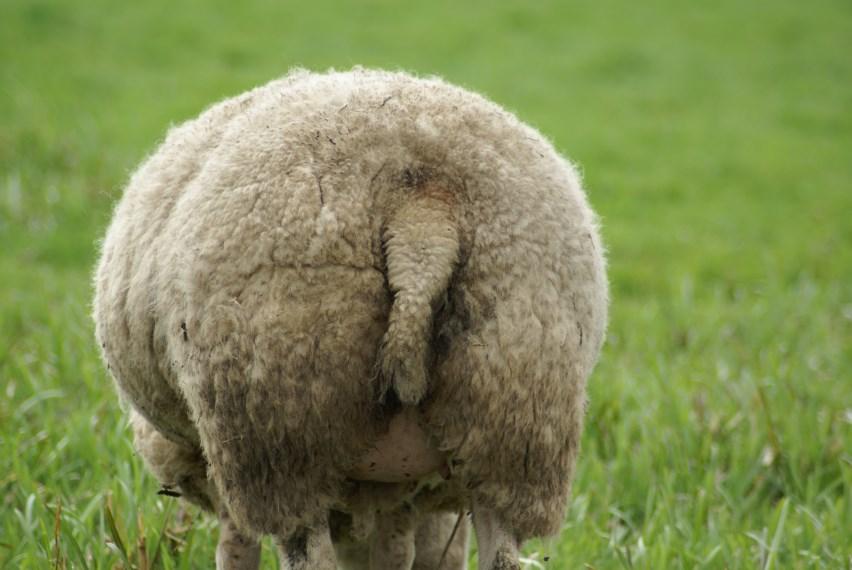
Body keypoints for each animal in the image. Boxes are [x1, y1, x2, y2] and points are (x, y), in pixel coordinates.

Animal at [93, 67, 604, 568]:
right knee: (503, 549)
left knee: (306, 547)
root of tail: (423, 213)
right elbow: (416, 551)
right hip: (516, 412)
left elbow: (236, 548)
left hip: (279, 425)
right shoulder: (409, 494)